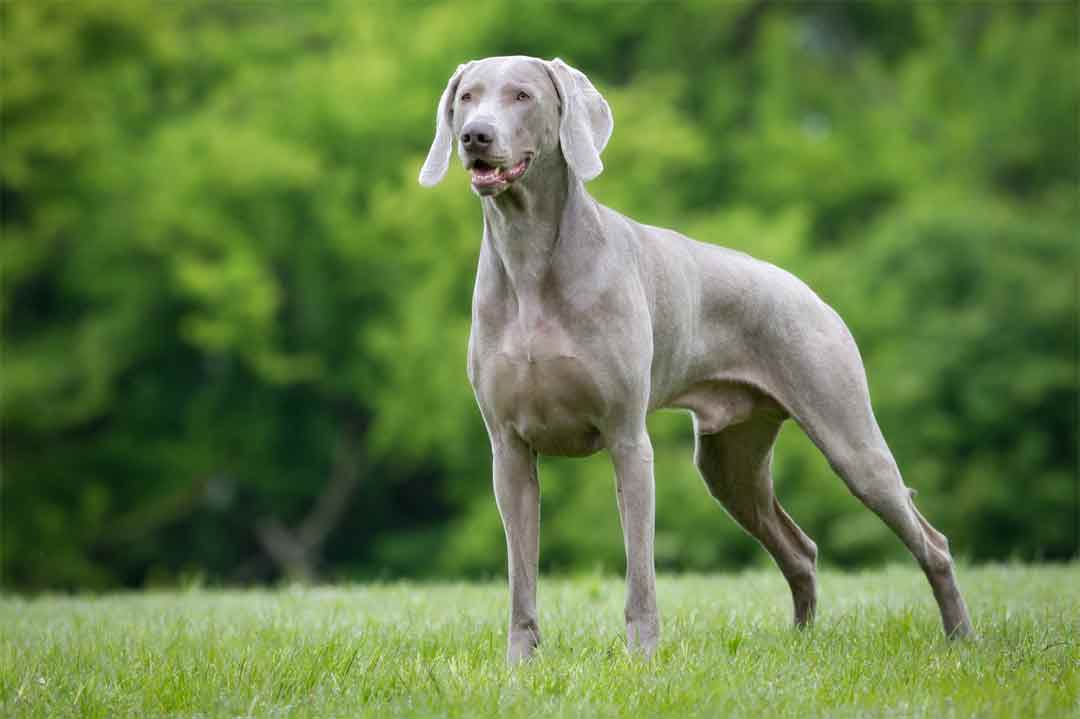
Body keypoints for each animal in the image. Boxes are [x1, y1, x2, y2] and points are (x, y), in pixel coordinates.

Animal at [416, 54, 976, 660]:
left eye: (522, 95)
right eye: (467, 97)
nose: (475, 136)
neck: (529, 258)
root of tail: (809, 291)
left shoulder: (627, 440)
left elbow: (640, 570)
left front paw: (641, 657)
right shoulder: (509, 450)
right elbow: (522, 573)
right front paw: (520, 664)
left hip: (849, 436)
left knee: (931, 540)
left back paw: (961, 637)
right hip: (730, 462)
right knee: (799, 548)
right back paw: (801, 643)